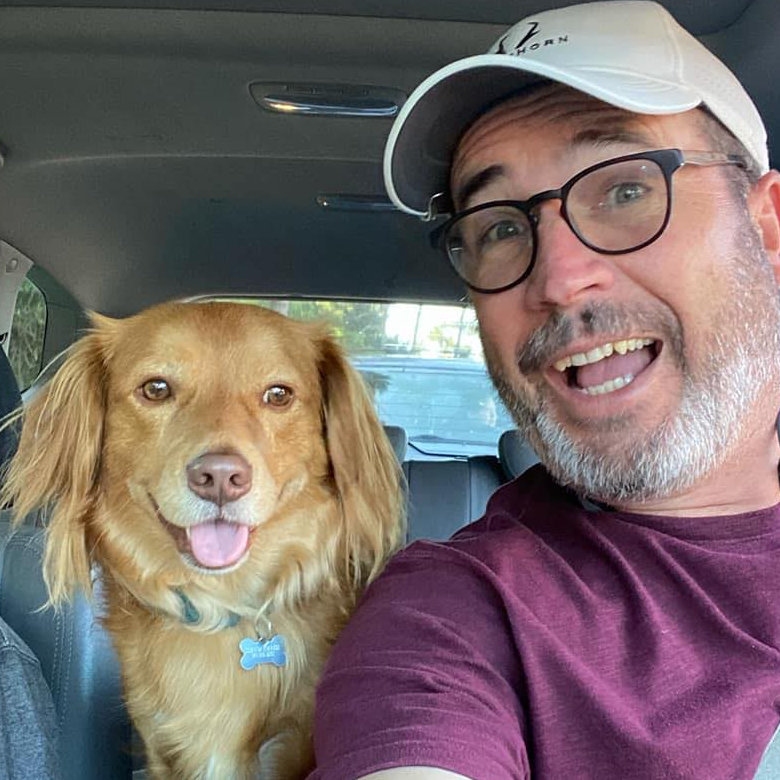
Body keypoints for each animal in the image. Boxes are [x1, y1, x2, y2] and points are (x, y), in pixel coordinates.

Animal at [1, 301, 405, 779]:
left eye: (279, 395)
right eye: (156, 389)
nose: (220, 478)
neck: (223, 602)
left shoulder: (290, 746)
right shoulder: (159, 748)